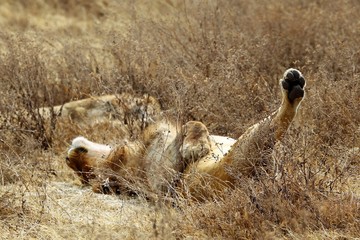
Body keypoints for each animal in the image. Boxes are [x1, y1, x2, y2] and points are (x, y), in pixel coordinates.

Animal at [63, 68, 306, 200]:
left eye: (81, 171)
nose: (68, 157)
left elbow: (193, 122)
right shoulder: (164, 175)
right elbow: (192, 124)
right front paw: (196, 147)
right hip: (250, 144)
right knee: (277, 124)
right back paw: (292, 88)